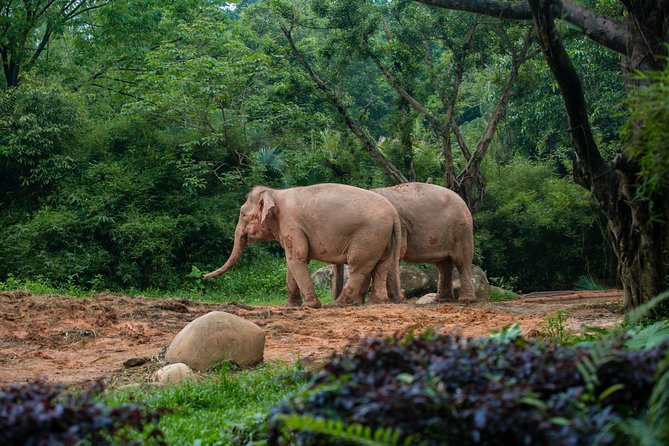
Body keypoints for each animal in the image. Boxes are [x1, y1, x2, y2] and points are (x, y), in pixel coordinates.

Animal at [203, 183, 402, 308]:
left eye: (243, 215)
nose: (204, 276)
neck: (275, 193)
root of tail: (394, 213)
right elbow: (291, 261)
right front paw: (290, 306)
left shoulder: (291, 223)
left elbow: (297, 257)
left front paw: (310, 306)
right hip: (383, 238)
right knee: (381, 266)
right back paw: (375, 303)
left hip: (369, 236)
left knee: (358, 268)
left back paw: (337, 304)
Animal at [332, 182, 475, 303]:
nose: (334, 300)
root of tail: (462, 201)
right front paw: (360, 302)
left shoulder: (399, 226)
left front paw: (394, 300)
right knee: (444, 264)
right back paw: (442, 300)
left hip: (462, 231)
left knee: (461, 261)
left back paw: (465, 300)